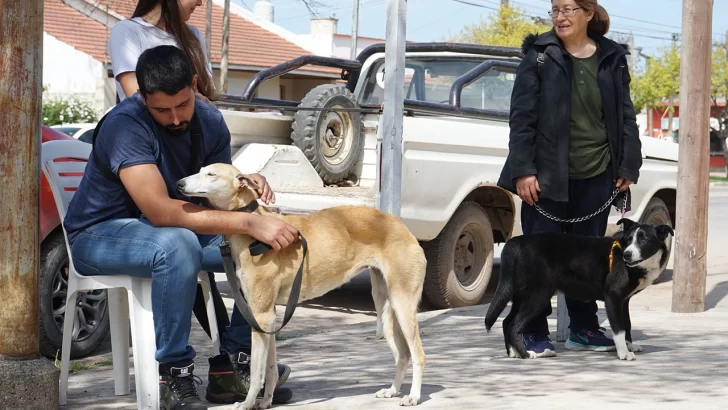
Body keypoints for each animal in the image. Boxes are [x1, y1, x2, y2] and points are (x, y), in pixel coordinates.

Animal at [177, 163, 426, 410]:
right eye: (200, 170)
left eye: (211, 174)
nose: (179, 184)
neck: (253, 232)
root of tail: (401, 225)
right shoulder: (269, 317)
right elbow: (270, 368)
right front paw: (266, 401)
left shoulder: (261, 315)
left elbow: (257, 371)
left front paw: (247, 403)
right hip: (385, 307)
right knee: (402, 355)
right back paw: (392, 391)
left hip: (402, 305)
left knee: (418, 354)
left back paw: (413, 396)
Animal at [486, 219, 672, 360]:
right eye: (628, 239)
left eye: (643, 239)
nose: (627, 254)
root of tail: (516, 242)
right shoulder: (613, 297)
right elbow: (619, 329)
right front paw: (624, 353)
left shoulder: (624, 300)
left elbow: (627, 324)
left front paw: (630, 345)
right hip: (538, 296)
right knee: (514, 325)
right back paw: (526, 354)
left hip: (521, 295)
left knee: (506, 321)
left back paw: (513, 353)